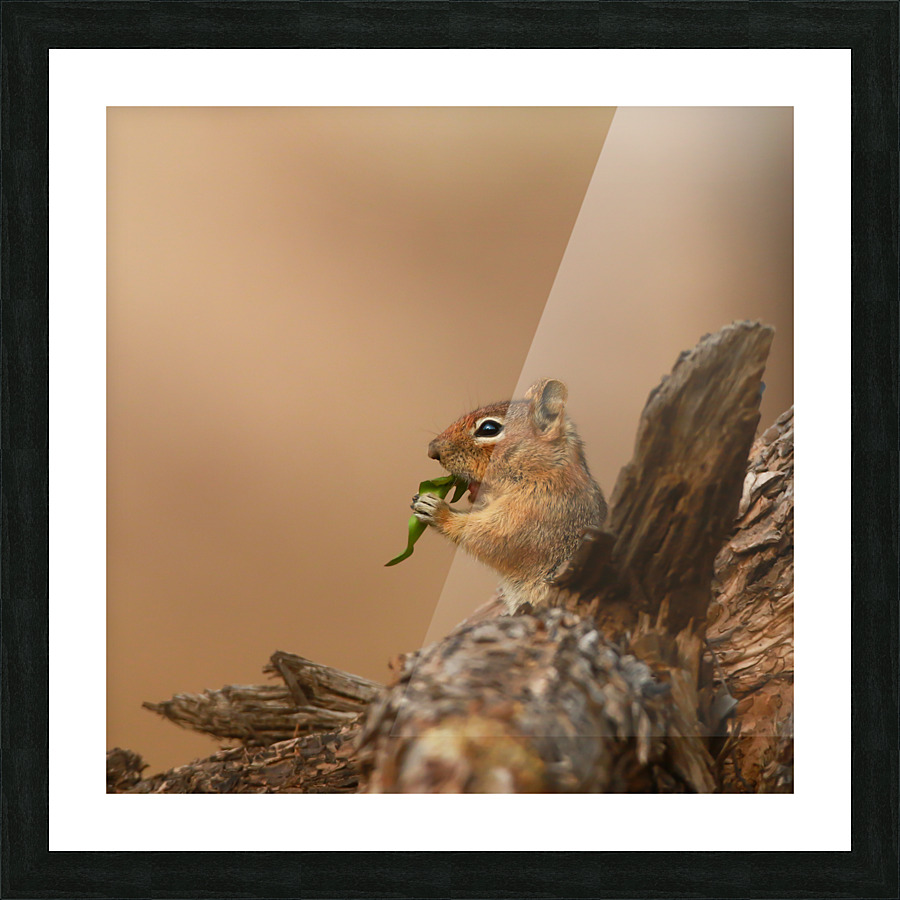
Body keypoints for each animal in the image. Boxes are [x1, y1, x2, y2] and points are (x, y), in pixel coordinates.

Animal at [411, 378, 608, 613]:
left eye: (489, 428)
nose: (432, 451)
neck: (543, 471)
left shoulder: (535, 514)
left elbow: (490, 536)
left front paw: (437, 510)